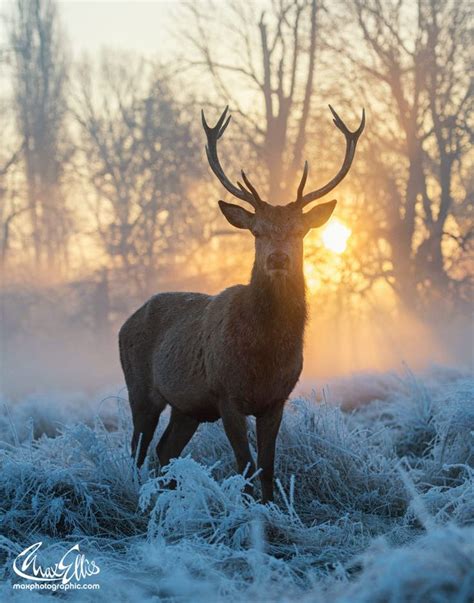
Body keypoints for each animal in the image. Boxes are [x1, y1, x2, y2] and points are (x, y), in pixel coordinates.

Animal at [118, 106, 362, 502]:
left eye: (299, 230)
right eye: (257, 231)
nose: (277, 258)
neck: (265, 354)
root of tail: (125, 323)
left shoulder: (276, 399)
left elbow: (267, 466)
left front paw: (270, 507)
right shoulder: (226, 394)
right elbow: (245, 465)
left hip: (187, 408)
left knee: (164, 449)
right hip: (139, 387)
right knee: (137, 448)